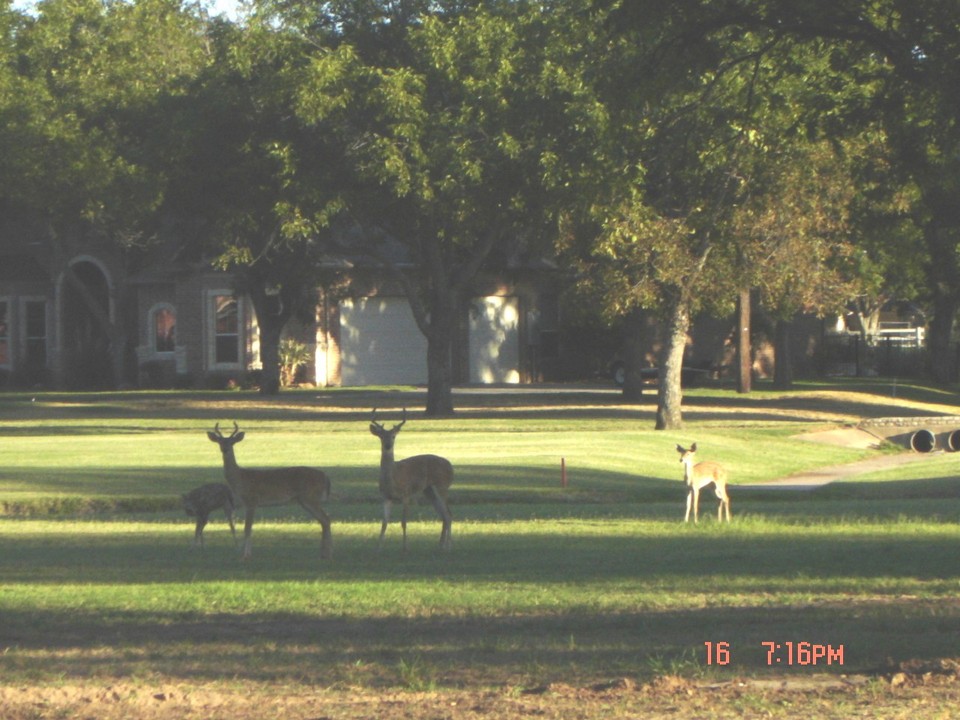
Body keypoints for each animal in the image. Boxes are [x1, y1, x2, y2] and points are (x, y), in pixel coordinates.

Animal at [207, 422, 332, 560]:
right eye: (219, 442)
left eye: (232, 442)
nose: (225, 449)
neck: (240, 478)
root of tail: (325, 477)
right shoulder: (248, 503)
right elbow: (249, 528)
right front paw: (247, 554)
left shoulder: (252, 500)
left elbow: (247, 528)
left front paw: (245, 556)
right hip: (305, 500)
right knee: (323, 521)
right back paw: (323, 553)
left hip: (310, 497)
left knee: (326, 519)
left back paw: (328, 554)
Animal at [369, 408, 453, 552]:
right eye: (381, 436)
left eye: (393, 436)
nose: (388, 445)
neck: (393, 479)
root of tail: (451, 467)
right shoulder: (385, 497)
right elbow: (384, 523)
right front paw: (378, 548)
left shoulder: (406, 494)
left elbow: (404, 521)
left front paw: (405, 547)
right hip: (428, 491)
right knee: (443, 514)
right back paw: (440, 545)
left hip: (442, 485)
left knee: (448, 514)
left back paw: (448, 545)